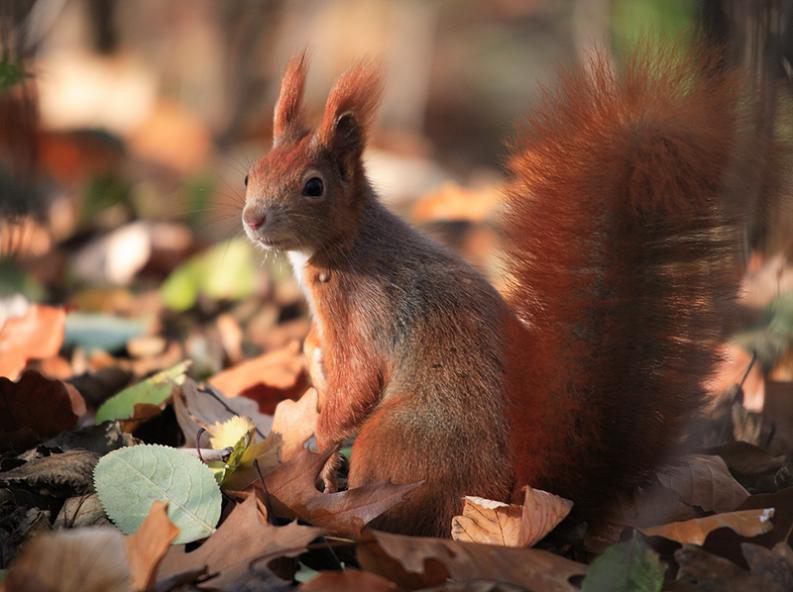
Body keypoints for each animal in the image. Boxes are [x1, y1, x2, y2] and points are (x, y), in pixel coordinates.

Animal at [241, 47, 756, 536]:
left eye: (314, 186)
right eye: (251, 174)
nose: (252, 218)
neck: (343, 245)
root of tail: (522, 492)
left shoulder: (366, 312)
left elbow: (356, 386)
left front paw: (319, 447)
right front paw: (310, 359)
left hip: (400, 440)